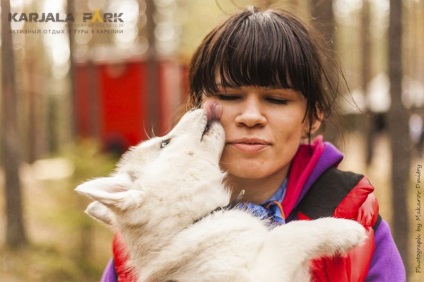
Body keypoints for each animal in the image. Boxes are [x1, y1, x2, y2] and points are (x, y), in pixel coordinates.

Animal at [76, 107, 368, 282]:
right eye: (165, 142)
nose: (200, 106)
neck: (196, 221)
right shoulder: (257, 275)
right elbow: (286, 234)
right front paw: (345, 231)